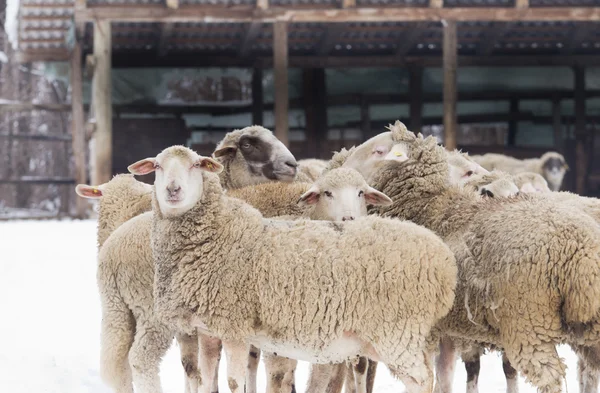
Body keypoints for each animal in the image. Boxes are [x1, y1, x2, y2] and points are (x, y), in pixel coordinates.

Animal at [131, 145, 458, 392]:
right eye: (157, 167)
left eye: (196, 165)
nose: (173, 190)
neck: (216, 235)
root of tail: (444, 259)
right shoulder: (208, 329)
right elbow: (207, 381)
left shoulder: (235, 326)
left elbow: (235, 382)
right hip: (400, 336)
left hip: (398, 332)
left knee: (421, 380)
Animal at [340, 119, 600, 392]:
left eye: (378, 151)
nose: (343, 167)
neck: (426, 208)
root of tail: (583, 250)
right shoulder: (448, 331)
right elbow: (445, 376)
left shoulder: (419, 326)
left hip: (528, 323)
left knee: (551, 379)